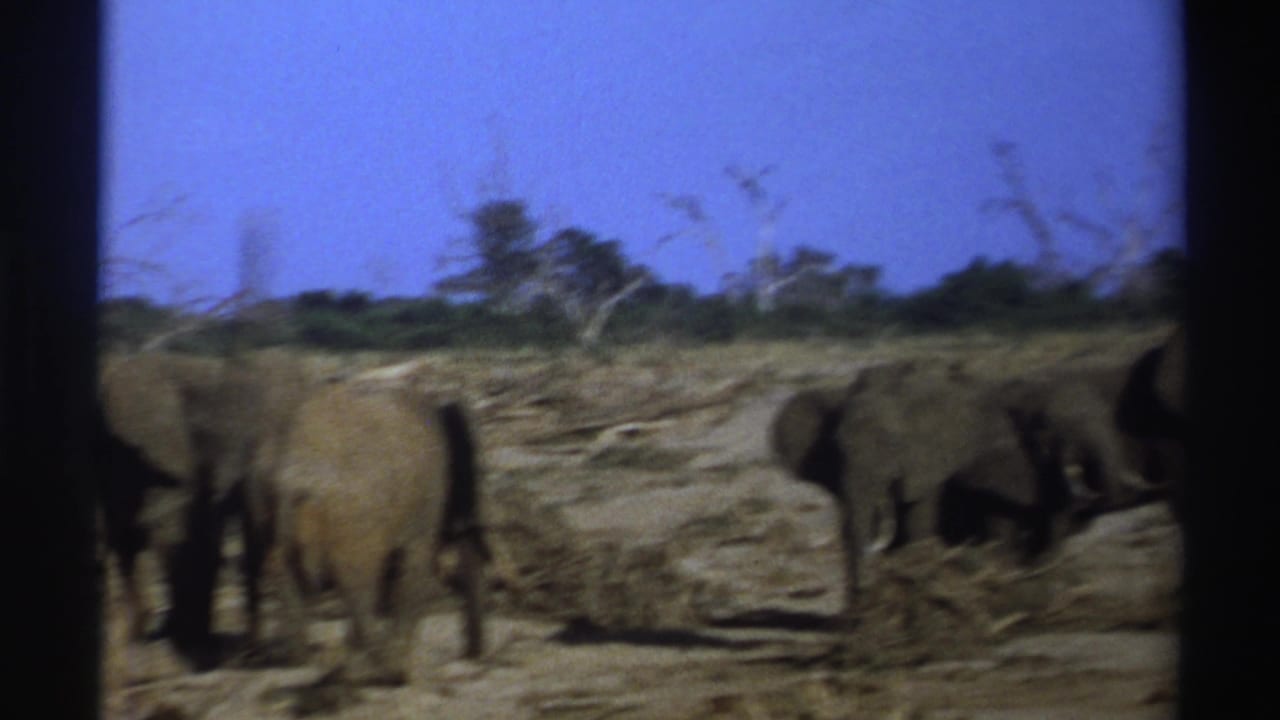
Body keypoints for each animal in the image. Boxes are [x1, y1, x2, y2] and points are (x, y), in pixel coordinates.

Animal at [265, 381, 489, 685]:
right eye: (474, 473)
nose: (473, 656)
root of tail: (306, 484)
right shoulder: (428, 498)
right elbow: (414, 566)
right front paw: (403, 669)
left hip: (280, 514)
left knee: (286, 572)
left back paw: (307, 660)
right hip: (355, 520)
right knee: (359, 582)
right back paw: (388, 669)